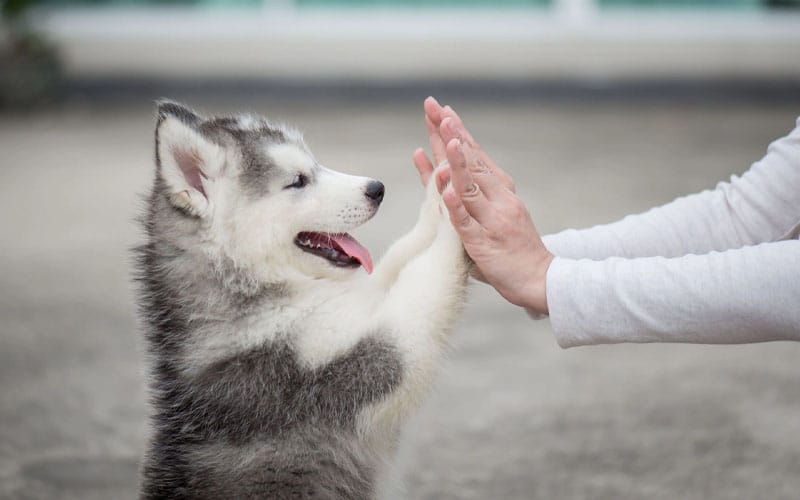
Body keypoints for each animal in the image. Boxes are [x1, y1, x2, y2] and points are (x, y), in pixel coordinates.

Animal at [134, 99, 466, 498]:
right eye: (297, 180)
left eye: (315, 164)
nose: (377, 188)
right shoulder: (345, 367)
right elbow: (424, 280)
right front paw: (460, 215)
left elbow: (398, 258)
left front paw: (440, 192)